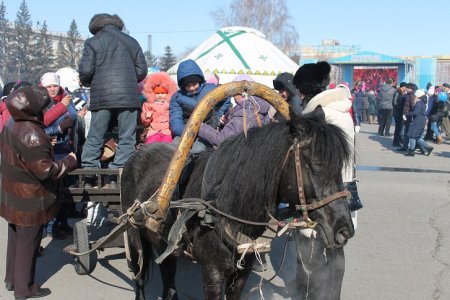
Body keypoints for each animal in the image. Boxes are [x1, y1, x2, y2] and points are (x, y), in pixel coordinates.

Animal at [121, 108, 354, 300]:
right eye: (316, 166)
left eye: (340, 167)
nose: (344, 231)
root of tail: (139, 152)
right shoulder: (212, 272)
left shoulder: (242, 272)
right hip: (133, 234)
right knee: (139, 276)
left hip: (162, 242)